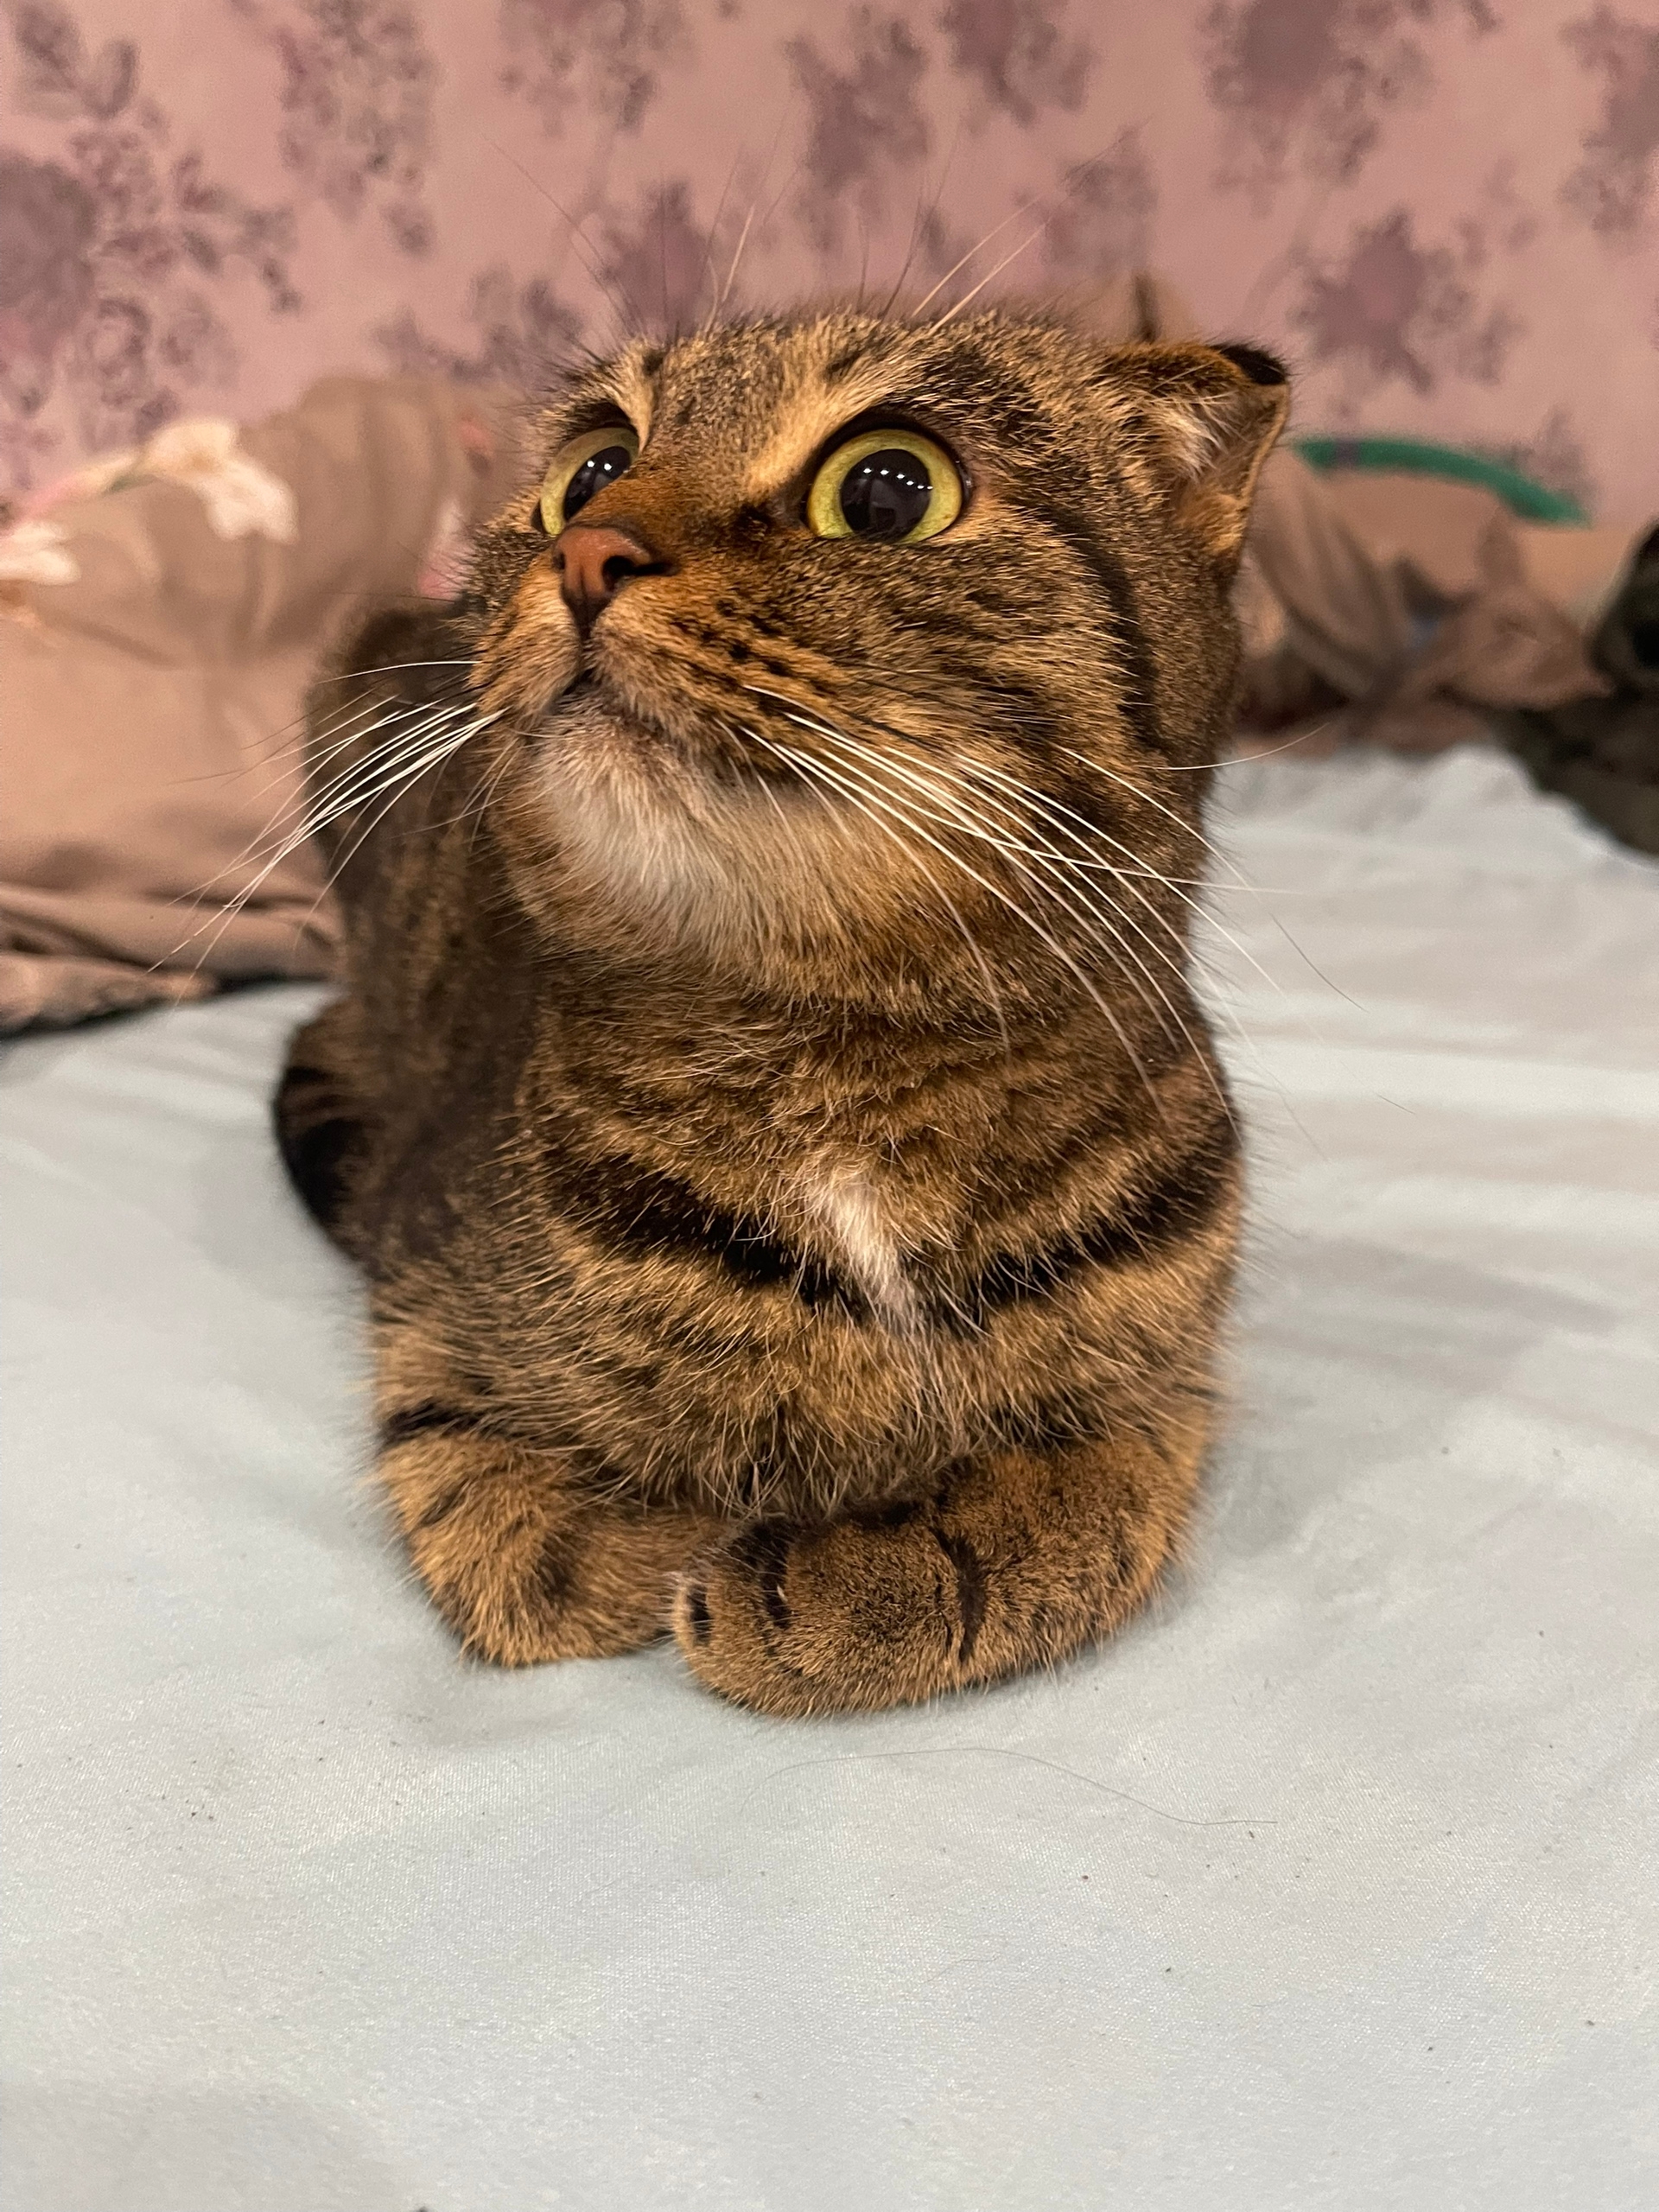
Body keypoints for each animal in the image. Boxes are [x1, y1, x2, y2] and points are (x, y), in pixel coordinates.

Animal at [274, 307, 1289, 1715]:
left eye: (887, 491)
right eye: (590, 469)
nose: (585, 544)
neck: (836, 1064)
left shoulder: (1171, 1386)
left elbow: (1092, 1508)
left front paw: (866, 1580)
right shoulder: (426, 1292)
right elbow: (505, 1506)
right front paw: (642, 1534)